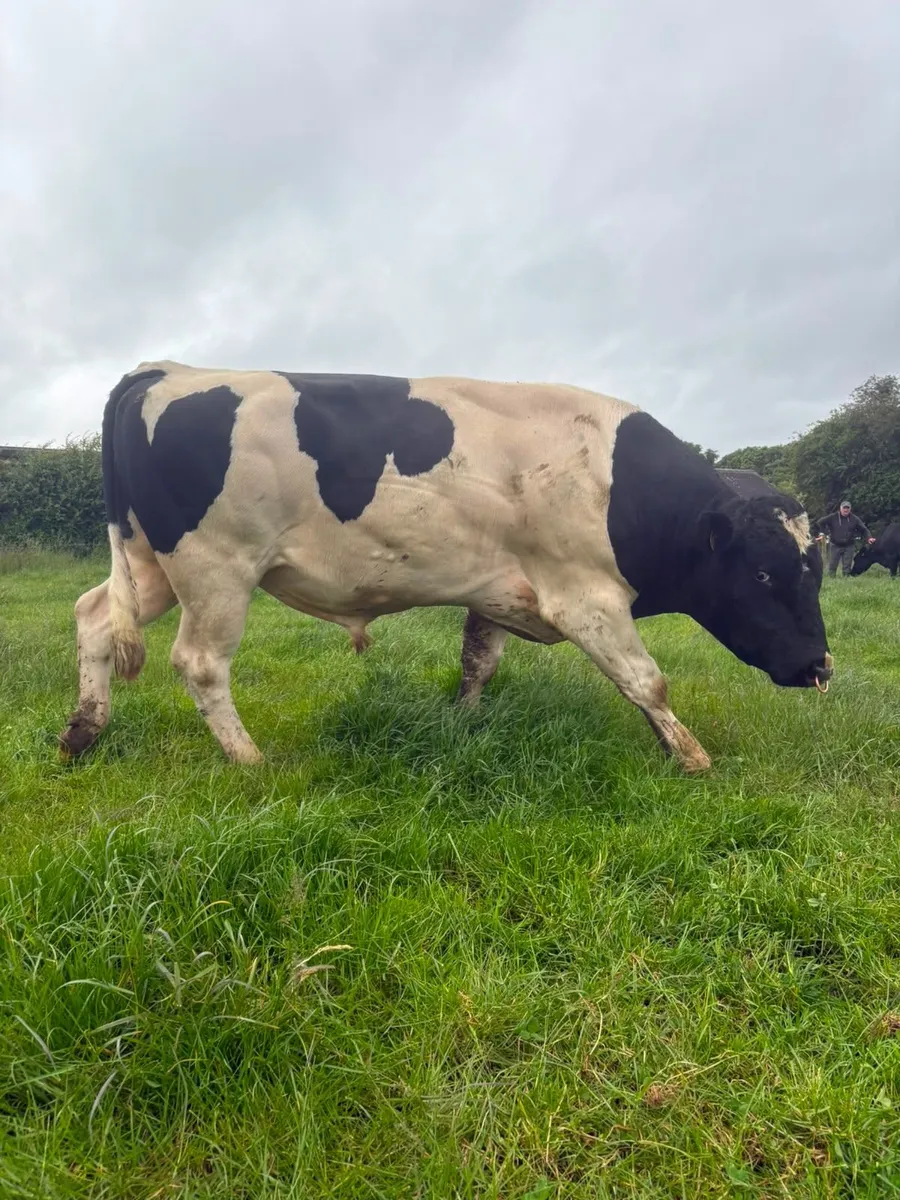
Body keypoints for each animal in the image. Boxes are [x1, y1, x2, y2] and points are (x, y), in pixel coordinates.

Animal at [59, 361, 833, 774]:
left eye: (817, 571)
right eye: (765, 576)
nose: (820, 667)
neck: (617, 482)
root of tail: (169, 370)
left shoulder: (498, 591)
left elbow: (477, 664)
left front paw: (463, 723)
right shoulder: (585, 597)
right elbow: (648, 681)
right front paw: (693, 757)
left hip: (150, 563)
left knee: (94, 615)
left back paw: (84, 731)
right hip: (217, 566)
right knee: (199, 663)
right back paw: (248, 758)